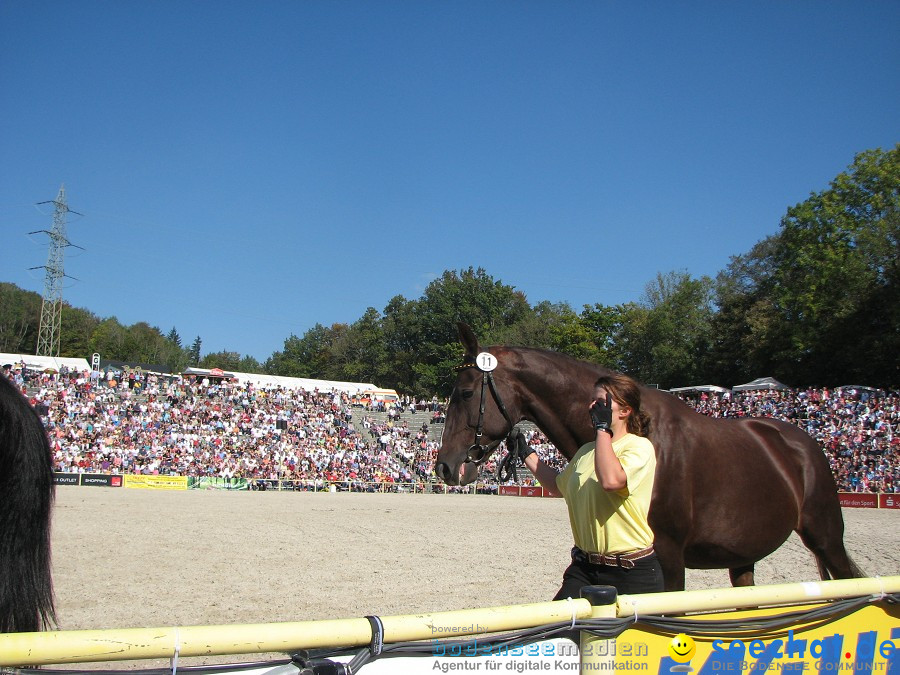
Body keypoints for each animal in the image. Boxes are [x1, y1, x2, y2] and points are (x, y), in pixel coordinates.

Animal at [436, 324, 864, 588]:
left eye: (466, 392)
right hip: (743, 557)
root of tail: (802, 444)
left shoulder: (670, 559)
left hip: (826, 538)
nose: (445, 466)